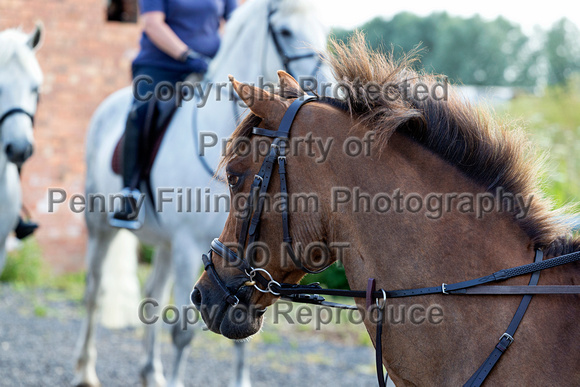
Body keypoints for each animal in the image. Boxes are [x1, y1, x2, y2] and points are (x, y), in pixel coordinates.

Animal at [75, 0, 328, 387]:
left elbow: (241, 333)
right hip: (101, 227)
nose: (331, 86)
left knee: (151, 295)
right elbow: (183, 332)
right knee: (93, 293)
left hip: (164, 244)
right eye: (285, 31)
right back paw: (86, 370)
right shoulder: (189, 245)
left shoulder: (238, 259)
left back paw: (151, 373)